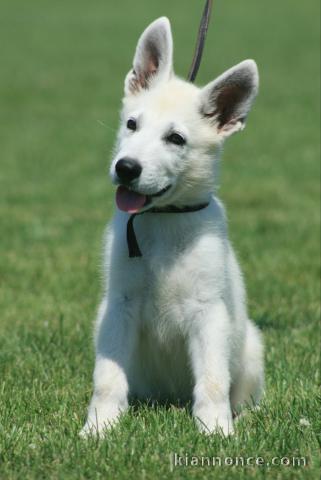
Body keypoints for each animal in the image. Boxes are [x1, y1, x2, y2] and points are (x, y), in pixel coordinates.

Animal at [81, 16, 264, 436]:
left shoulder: (209, 312)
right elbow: (107, 377)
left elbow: (212, 380)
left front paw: (215, 430)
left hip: (252, 346)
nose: (126, 168)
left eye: (175, 138)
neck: (164, 219)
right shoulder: (119, 306)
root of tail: (170, 398)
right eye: (132, 124)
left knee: (245, 392)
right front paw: (99, 427)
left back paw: (244, 416)